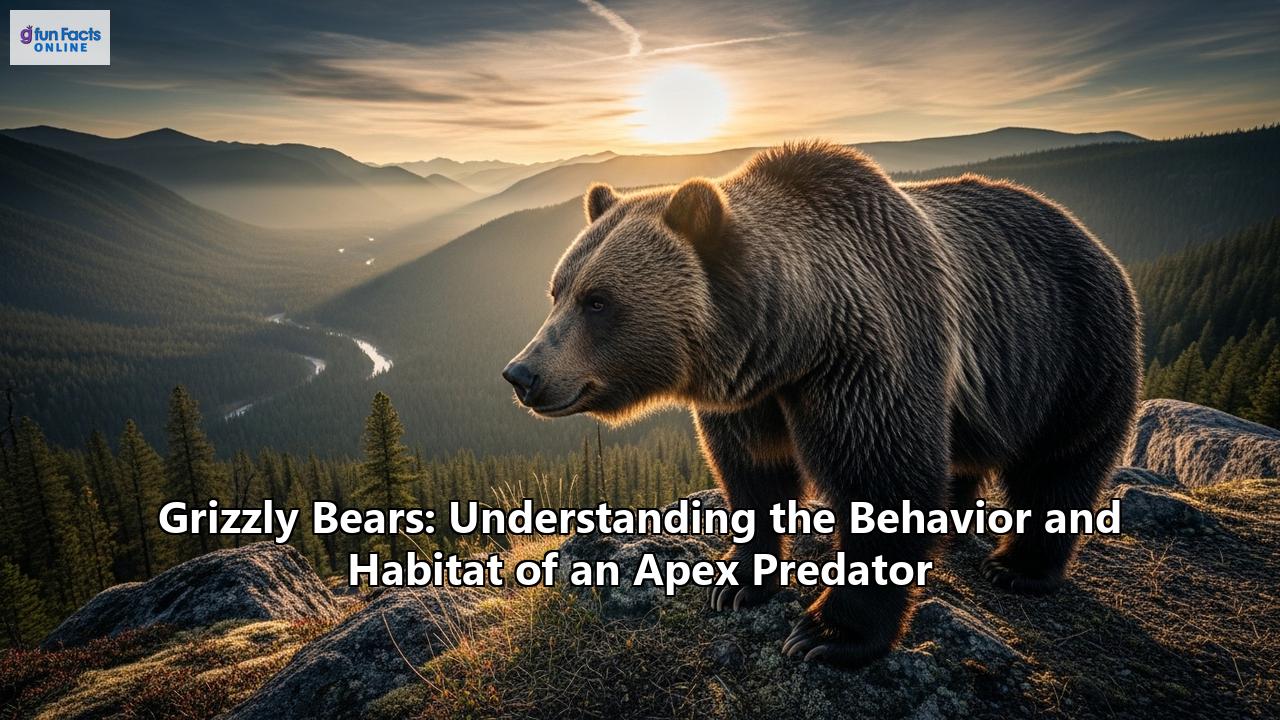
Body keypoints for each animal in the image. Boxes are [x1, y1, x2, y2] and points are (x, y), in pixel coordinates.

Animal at [503, 140, 1142, 667]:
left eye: (599, 301)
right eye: (557, 291)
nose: (522, 373)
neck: (793, 337)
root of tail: (1091, 237)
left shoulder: (866, 360)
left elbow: (884, 481)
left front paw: (827, 634)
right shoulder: (751, 398)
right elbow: (752, 478)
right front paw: (737, 582)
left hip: (1074, 357)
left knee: (1060, 467)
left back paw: (1019, 567)